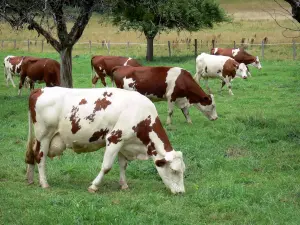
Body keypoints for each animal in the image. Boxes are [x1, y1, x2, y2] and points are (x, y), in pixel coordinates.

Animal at [25, 87, 185, 194]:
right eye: (174, 170)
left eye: (183, 170)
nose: (181, 192)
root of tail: (40, 89)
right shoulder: (114, 138)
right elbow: (106, 166)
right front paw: (94, 186)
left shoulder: (124, 143)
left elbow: (123, 165)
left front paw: (124, 185)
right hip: (44, 135)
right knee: (40, 157)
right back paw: (44, 183)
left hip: (39, 138)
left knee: (31, 154)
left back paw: (30, 179)